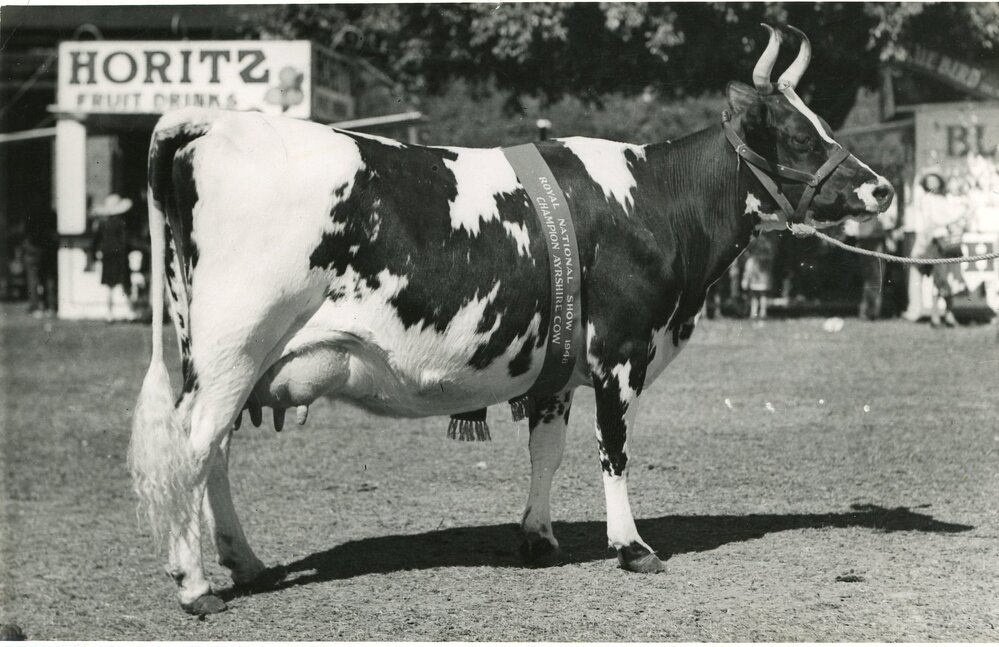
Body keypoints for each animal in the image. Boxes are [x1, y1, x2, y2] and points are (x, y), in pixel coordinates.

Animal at [130, 25, 893, 614]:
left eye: (820, 123)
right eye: (796, 134)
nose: (882, 188)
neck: (651, 203)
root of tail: (217, 121)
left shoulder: (558, 363)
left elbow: (546, 450)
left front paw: (537, 537)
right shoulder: (621, 351)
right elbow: (614, 450)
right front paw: (631, 546)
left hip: (220, 355)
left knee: (216, 453)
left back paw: (247, 563)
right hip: (235, 345)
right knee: (194, 448)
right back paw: (196, 586)